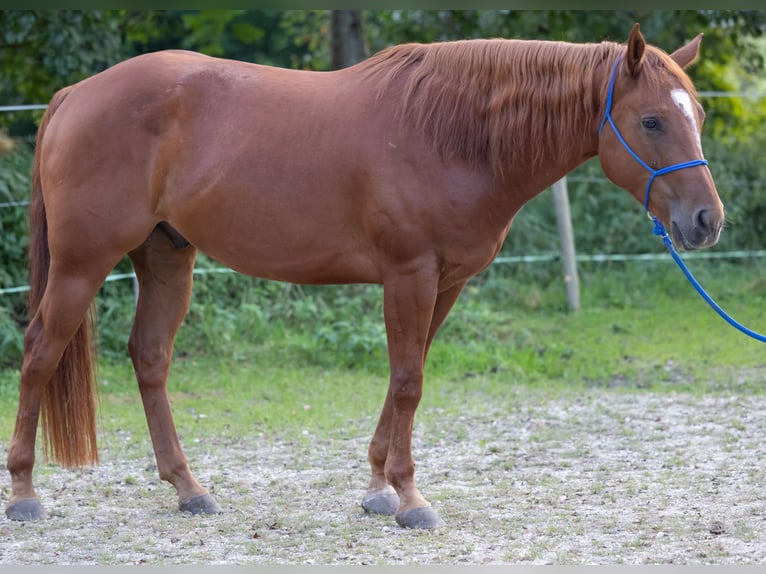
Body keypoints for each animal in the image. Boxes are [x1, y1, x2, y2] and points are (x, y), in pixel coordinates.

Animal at [6, 24, 728, 528]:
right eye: (651, 120)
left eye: (697, 115)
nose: (706, 221)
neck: (452, 134)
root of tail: (74, 95)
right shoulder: (410, 275)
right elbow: (408, 381)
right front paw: (410, 498)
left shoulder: (444, 283)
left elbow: (406, 376)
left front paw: (380, 487)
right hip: (82, 264)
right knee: (40, 352)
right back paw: (25, 493)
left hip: (165, 256)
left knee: (150, 357)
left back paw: (190, 490)